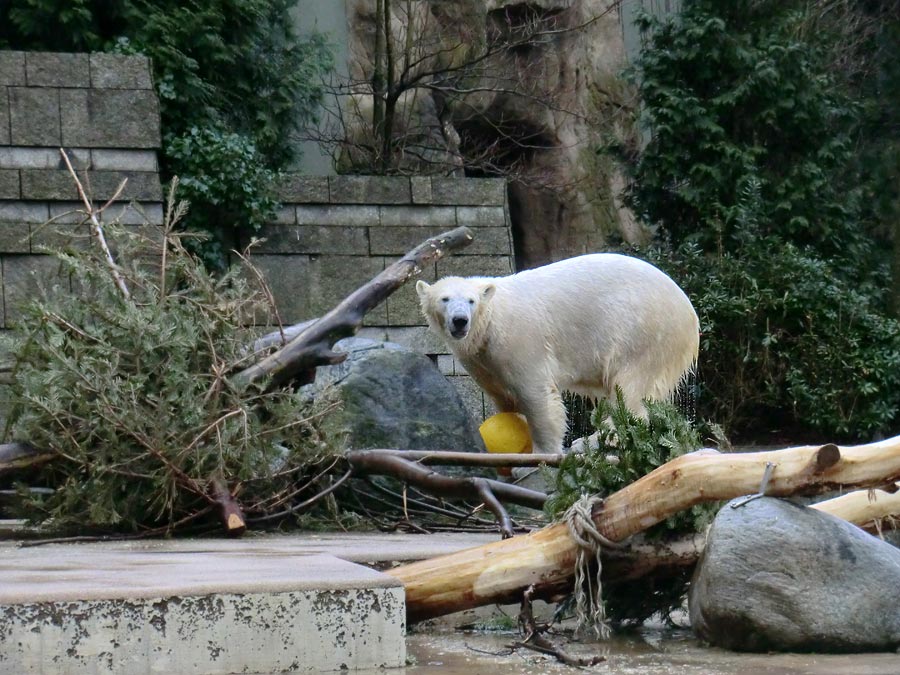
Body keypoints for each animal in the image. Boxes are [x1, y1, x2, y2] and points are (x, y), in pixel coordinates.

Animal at [416, 254, 704, 454]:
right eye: (444, 299)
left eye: (471, 301)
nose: (460, 320)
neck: (491, 321)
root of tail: (690, 314)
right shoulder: (481, 359)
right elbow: (503, 397)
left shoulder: (520, 340)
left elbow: (535, 394)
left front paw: (543, 450)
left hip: (643, 333)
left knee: (629, 389)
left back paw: (589, 441)